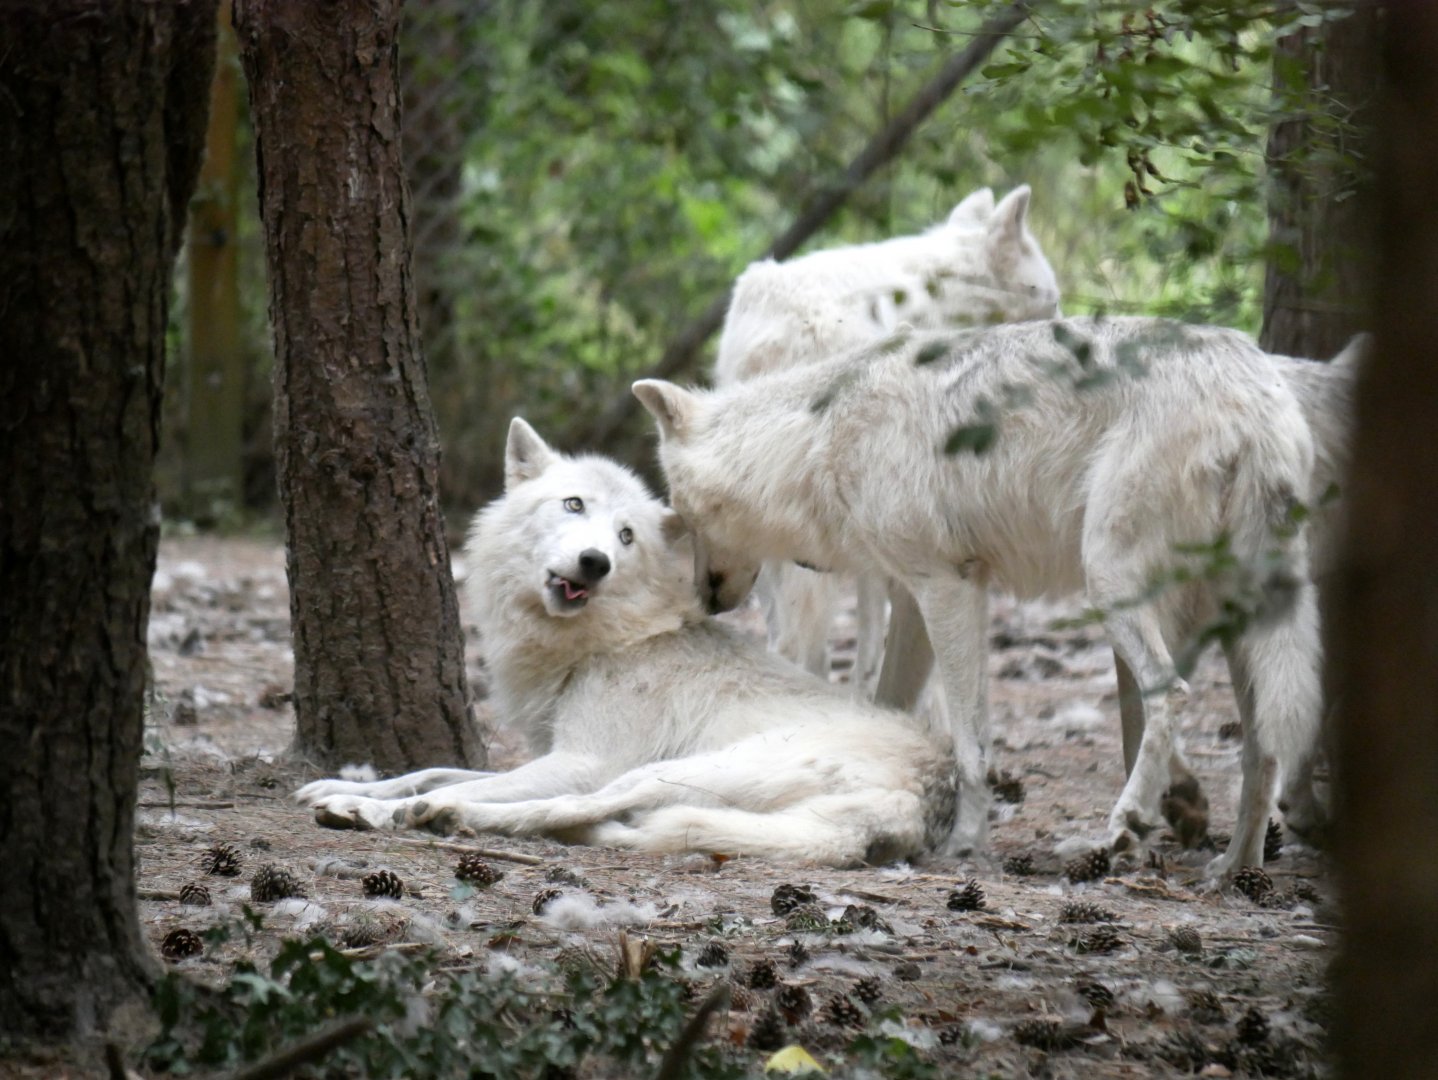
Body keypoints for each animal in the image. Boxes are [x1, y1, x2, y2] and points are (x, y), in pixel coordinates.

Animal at [293, 419, 957, 867]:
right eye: (573, 504)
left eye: (627, 536)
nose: (595, 561)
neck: (607, 643)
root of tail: (924, 801)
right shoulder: (549, 751)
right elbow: (430, 768)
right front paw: (345, 790)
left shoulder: (581, 759)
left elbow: (463, 781)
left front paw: (376, 810)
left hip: (667, 769)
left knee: (565, 807)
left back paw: (458, 818)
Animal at [635, 316, 1324, 878]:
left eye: (682, 517)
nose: (706, 599)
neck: (819, 440)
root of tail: (1254, 393)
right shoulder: (913, 600)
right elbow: (890, 705)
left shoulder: (949, 587)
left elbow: (972, 743)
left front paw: (966, 844)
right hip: (1238, 618)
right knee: (1262, 747)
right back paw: (1234, 867)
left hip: (1109, 583)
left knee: (1172, 694)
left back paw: (1129, 823)